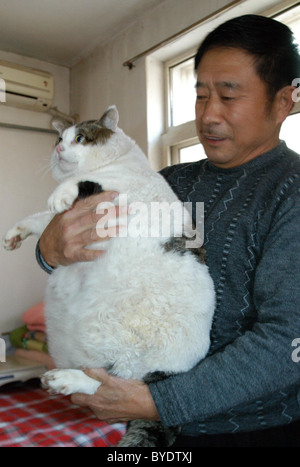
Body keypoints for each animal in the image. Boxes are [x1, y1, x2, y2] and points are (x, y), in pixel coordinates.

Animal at [1, 104, 216, 448]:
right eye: (58, 139)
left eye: (79, 138)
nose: (59, 149)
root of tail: (174, 372)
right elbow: (42, 220)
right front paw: (15, 234)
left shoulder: (117, 191)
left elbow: (85, 182)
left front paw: (60, 193)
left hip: (129, 355)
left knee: (111, 381)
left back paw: (65, 379)